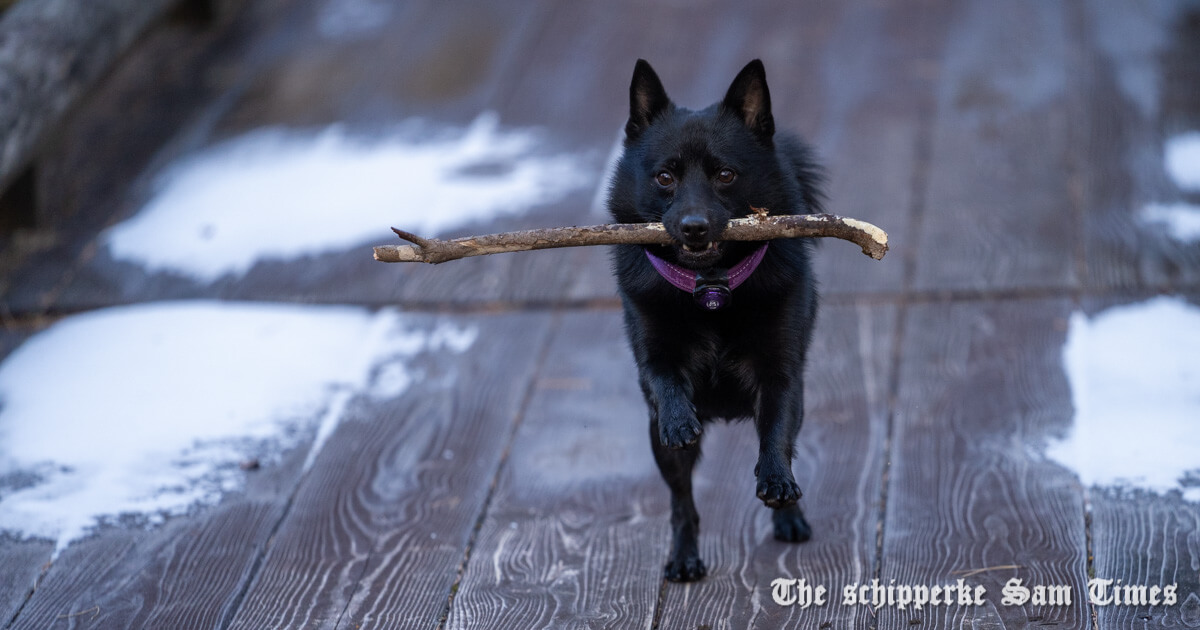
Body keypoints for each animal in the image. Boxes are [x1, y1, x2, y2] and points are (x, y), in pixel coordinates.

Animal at [609, 58, 825, 580]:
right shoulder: (653, 356)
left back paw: (788, 515)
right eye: (665, 177)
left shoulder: (782, 376)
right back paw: (684, 557)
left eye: (726, 174)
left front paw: (777, 481)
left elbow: (777, 434)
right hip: (661, 450)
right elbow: (664, 376)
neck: (711, 287)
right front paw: (679, 417)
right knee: (682, 502)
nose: (694, 227)